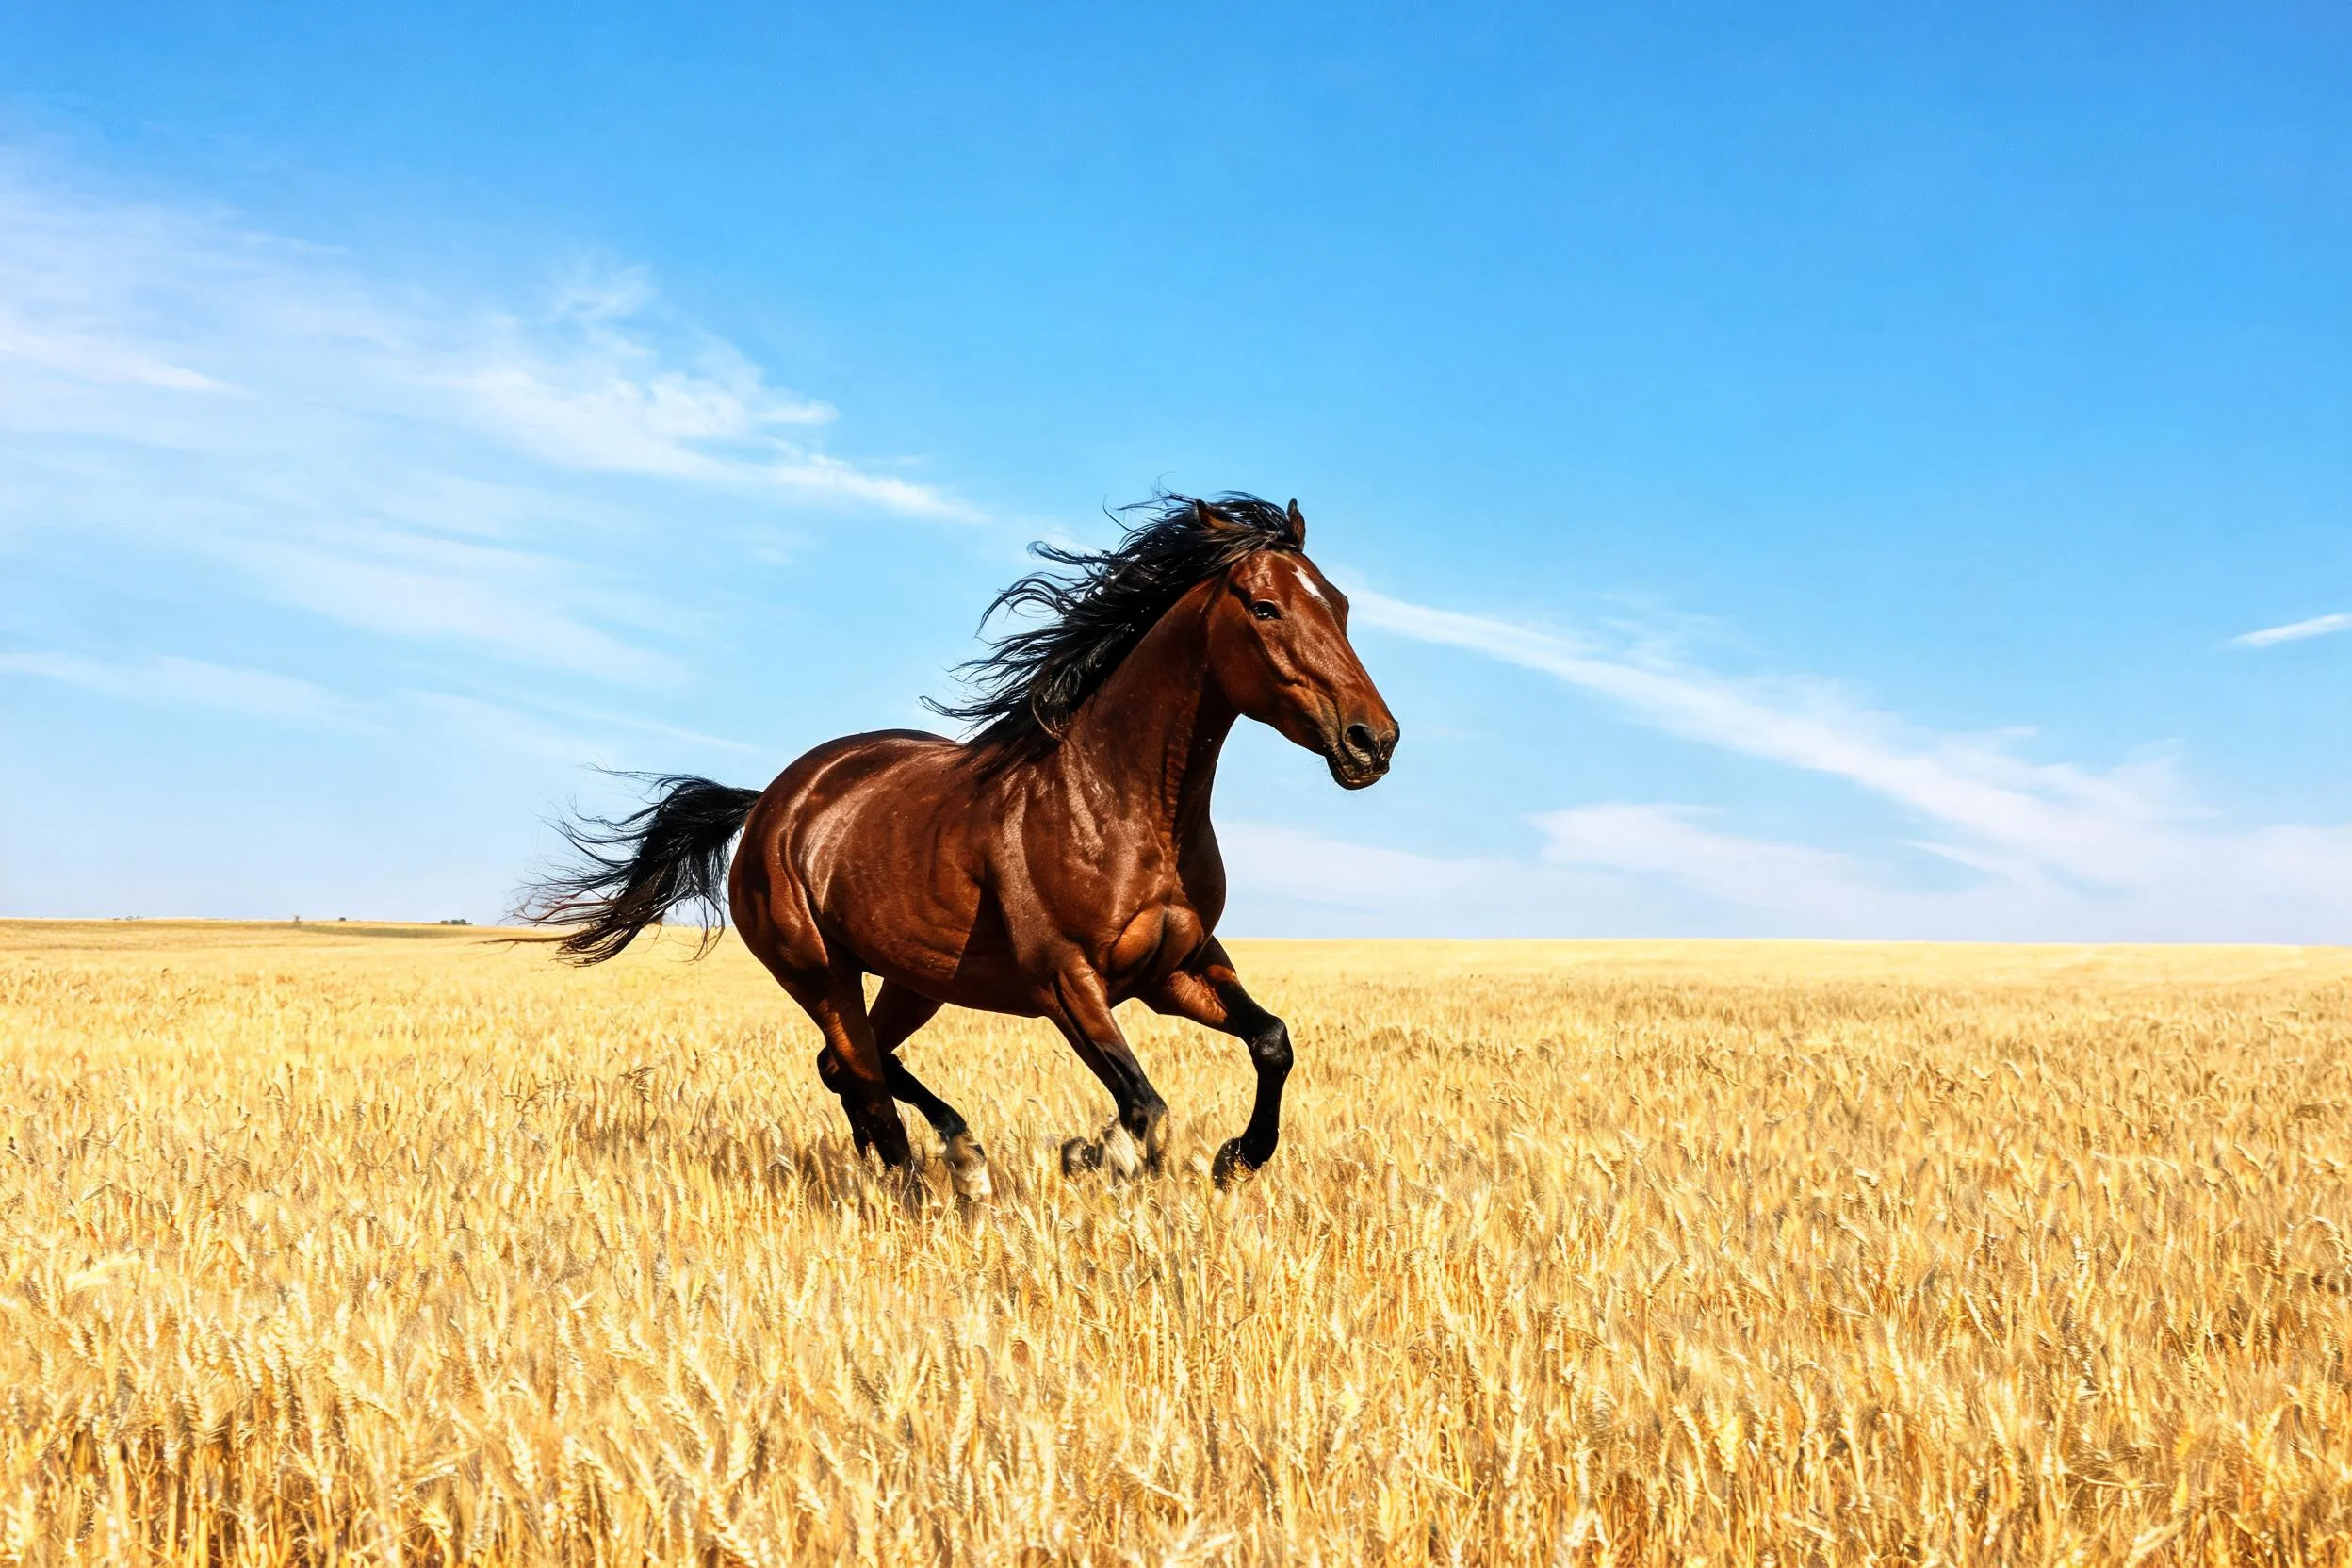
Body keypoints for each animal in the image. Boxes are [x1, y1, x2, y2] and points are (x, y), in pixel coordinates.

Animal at [523, 493, 1398, 1197]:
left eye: (1341, 604)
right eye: (1264, 607)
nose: (1373, 741)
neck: (1120, 801)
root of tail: (770, 800)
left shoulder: (1174, 968)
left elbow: (1271, 1042)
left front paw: (1234, 1159)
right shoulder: (1065, 979)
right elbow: (1143, 1104)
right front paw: (1093, 1156)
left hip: (916, 979)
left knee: (849, 1069)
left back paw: (935, 1159)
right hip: (818, 971)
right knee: (862, 1074)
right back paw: (943, 1171)